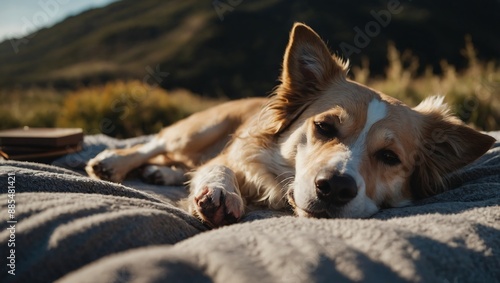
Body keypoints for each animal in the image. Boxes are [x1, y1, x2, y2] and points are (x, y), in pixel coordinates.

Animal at [87, 22, 496, 229]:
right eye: (325, 128)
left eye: (389, 157)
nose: (335, 187)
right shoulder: (234, 152)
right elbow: (218, 167)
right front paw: (221, 191)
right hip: (199, 129)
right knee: (155, 144)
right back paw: (112, 163)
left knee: (176, 162)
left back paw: (161, 174)